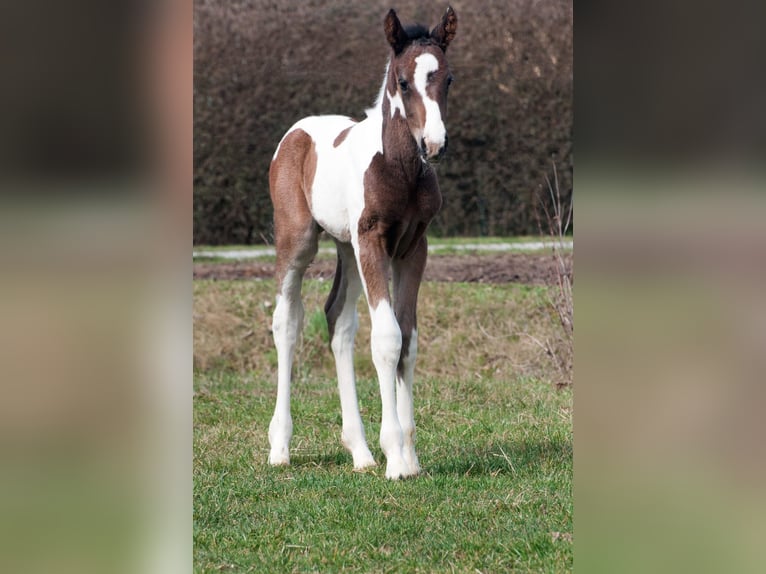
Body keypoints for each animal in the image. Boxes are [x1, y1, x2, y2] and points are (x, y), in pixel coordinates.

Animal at [267, 6, 457, 479]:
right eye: (403, 81)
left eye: (448, 79)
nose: (434, 144)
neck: (399, 168)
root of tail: (297, 132)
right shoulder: (373, 241)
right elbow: (387, 338)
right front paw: (397, 459)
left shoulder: (413, 247)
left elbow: (408, 339)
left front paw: (408, 454)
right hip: (298, 240)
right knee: (287, 322)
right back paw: (280, 447)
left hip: (347, 248)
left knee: (339, 321)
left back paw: (361, 452)